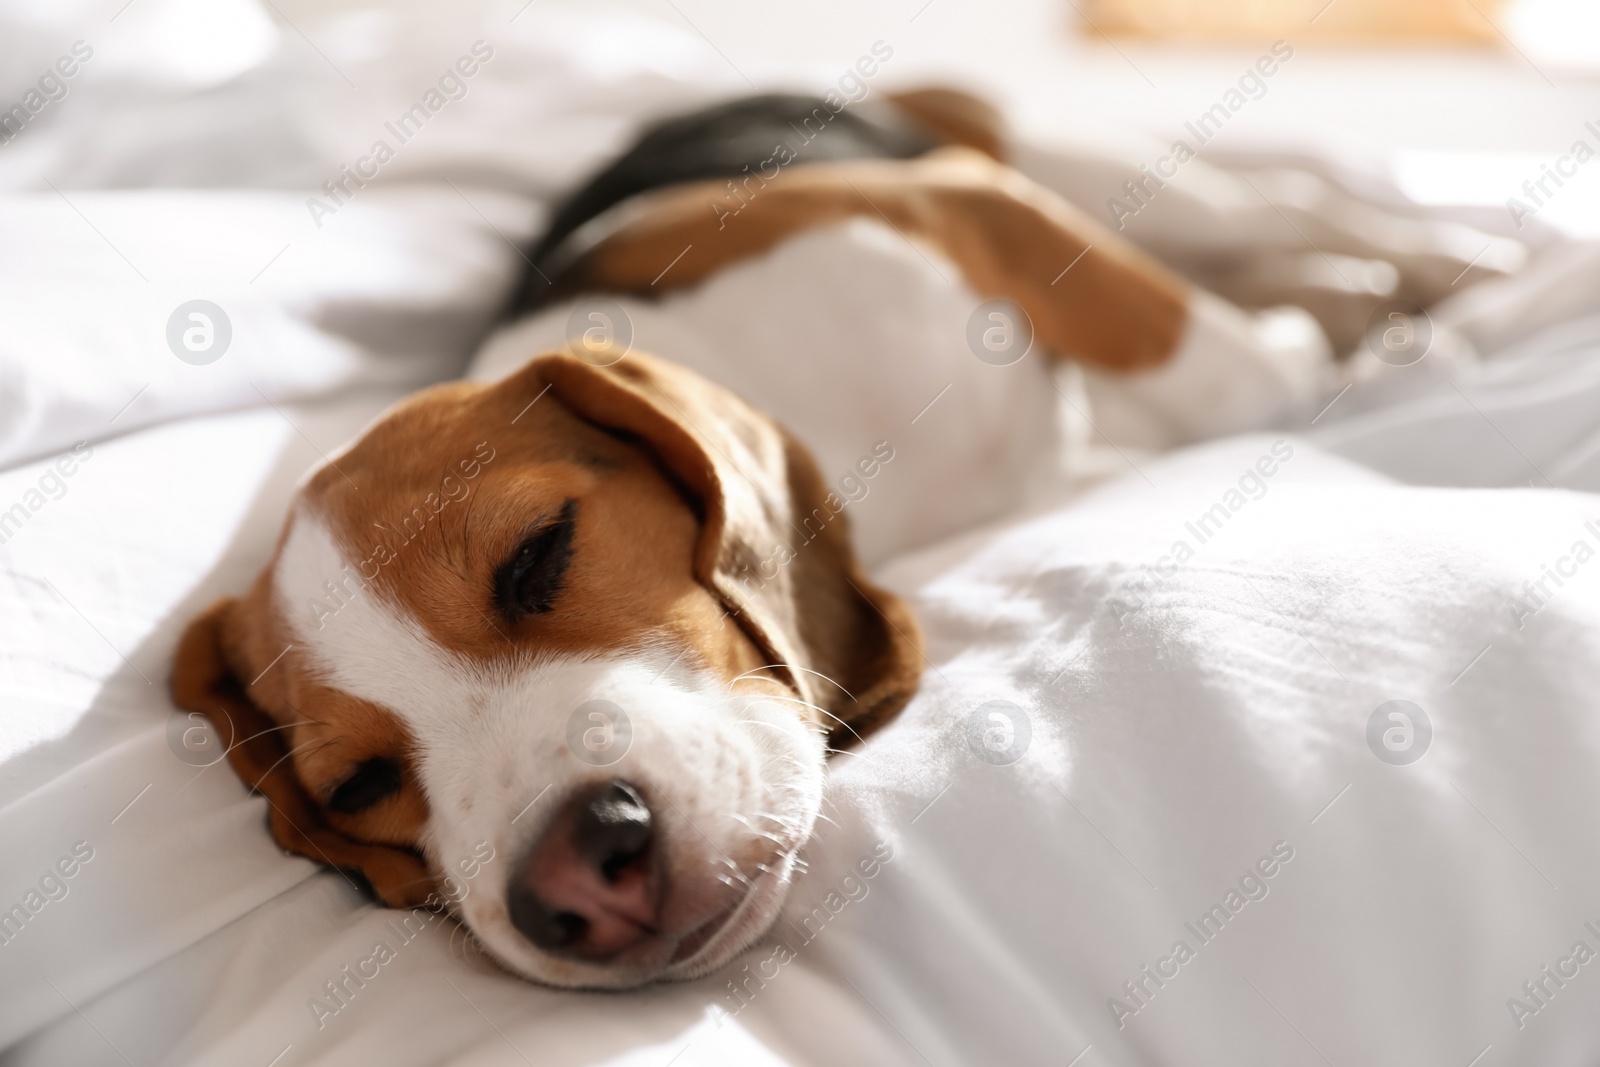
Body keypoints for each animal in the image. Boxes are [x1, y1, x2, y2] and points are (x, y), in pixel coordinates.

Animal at [172, 87, 1324, 991]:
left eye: (541, 551)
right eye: (356, 786)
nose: (578, 877)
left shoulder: (956, 208)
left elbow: (1240, 381)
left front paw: (1309, 351)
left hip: (1082, 167)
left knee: (1283, 210)